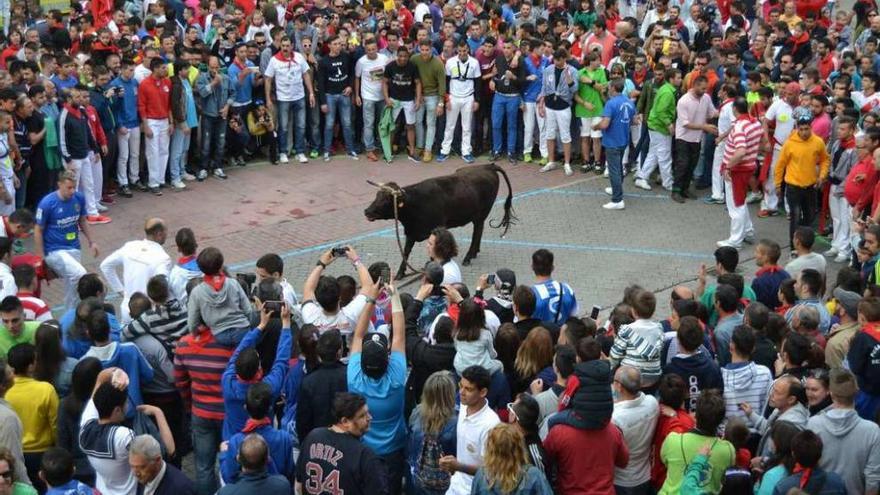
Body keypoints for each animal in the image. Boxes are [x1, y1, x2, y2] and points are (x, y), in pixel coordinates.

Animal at [362, 163, 516, 280]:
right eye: (376, 196)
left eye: (386, 200)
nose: (367, 211)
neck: (416, 204)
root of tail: (488, 166)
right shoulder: (411, 232)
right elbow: (406, 252)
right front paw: (400, 273)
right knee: (479, 230)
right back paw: (474, 252)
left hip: (482, 213)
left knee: (477, 231)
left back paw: (468, 257)